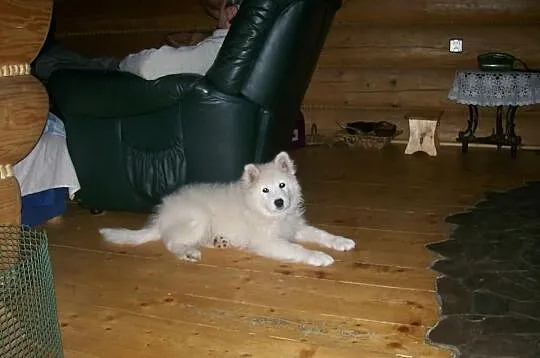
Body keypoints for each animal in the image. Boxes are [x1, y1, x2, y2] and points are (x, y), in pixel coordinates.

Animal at [99, 151, 356, 266]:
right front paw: (318, 256)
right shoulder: (268, 242)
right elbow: (297, 249)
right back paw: (188, 252)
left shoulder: (295, 226)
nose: (280, 202)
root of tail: (162, 217)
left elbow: (321, 233)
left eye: (282, 185)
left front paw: (341, 241)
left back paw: (219, 242)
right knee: (172, 242)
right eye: (265, 190)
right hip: (198, 217)